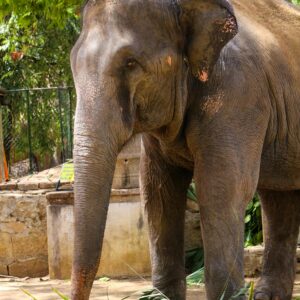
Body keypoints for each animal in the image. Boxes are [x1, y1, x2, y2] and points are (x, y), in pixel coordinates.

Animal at [70, 0, 300, 298]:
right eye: (73, 64)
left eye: (131, 63)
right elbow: (158, 191)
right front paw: (160, 297)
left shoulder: (240, 93)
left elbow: (222, 187)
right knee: (278, 196)